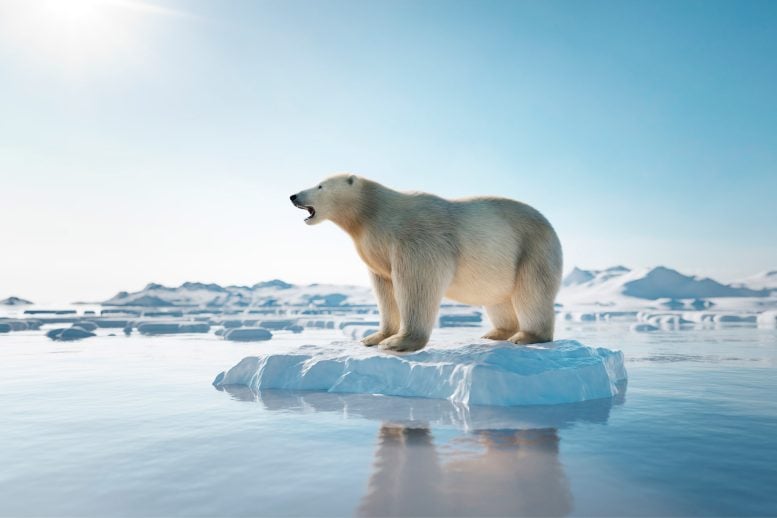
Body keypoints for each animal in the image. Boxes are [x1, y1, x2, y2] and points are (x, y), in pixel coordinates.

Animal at [288, 175, 560, 354]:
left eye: (320, 185)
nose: (293, 195)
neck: (373, 213)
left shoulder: (416, 238)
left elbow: (416, 283)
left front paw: (398, 342)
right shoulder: (376, 250)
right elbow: (385, 290)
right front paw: (375, 337)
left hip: (532, 249)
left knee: (532, 293)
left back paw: (527, 336)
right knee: (498, 299)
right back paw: (496, 333)